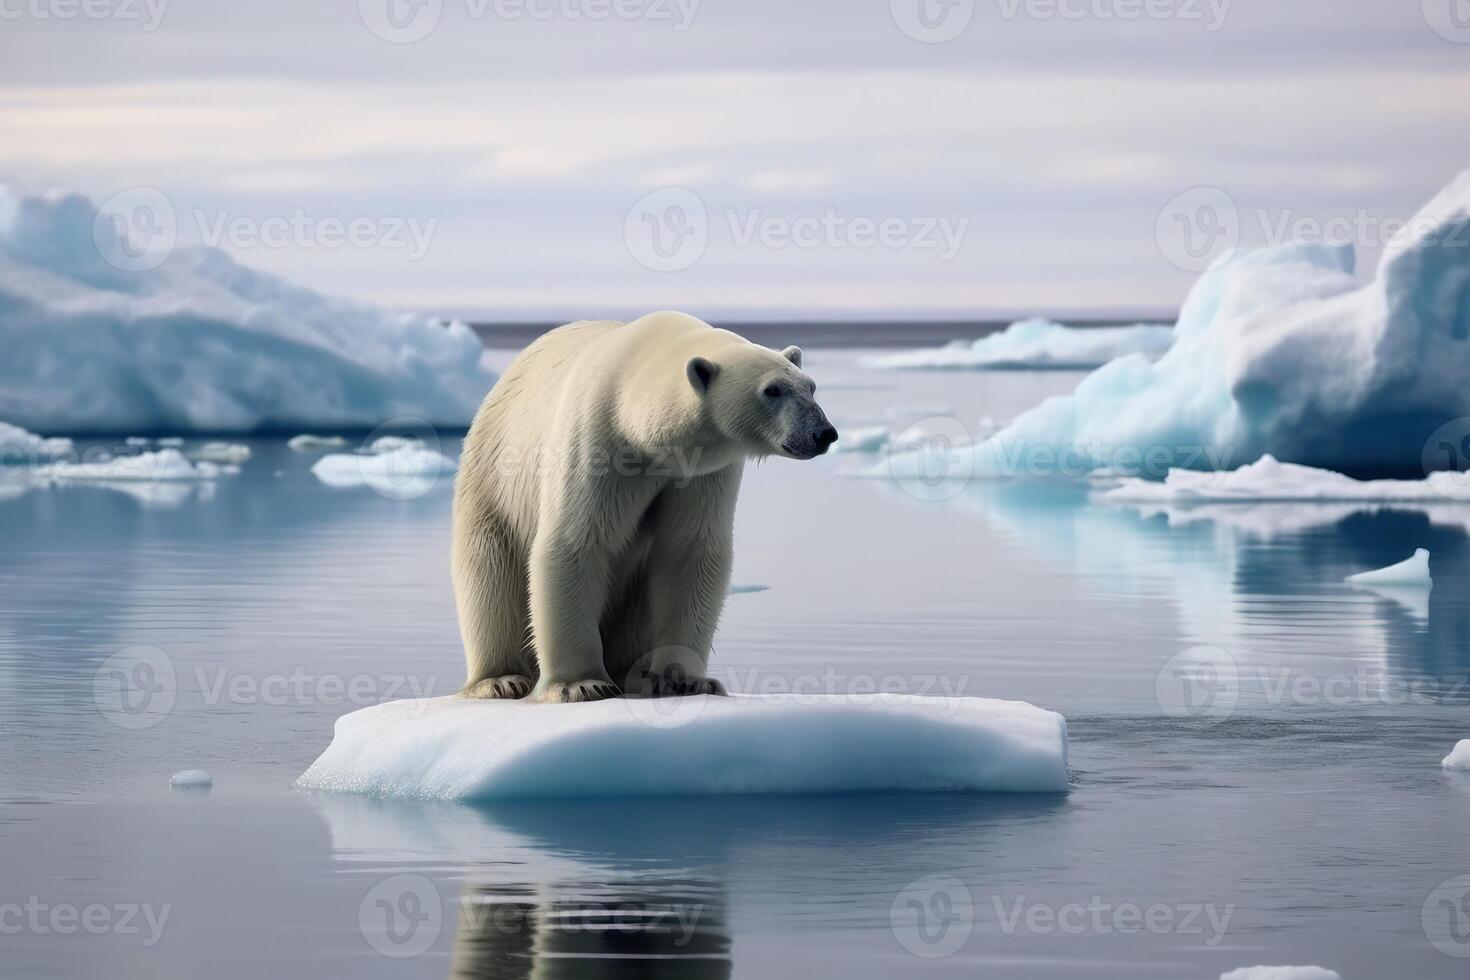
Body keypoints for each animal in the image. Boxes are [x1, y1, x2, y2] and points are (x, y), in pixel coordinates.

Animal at [446, 310, 840, 702]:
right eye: (772, 390)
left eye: (810, 386)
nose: (824, 433)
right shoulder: (598, 439)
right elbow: (576, 543)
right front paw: (582, 684)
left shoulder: (701, 471)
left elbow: (689, 552)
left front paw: (685, 680)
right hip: (492, 486)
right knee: (490, 577)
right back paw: (500, 679)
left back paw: (634, 674)